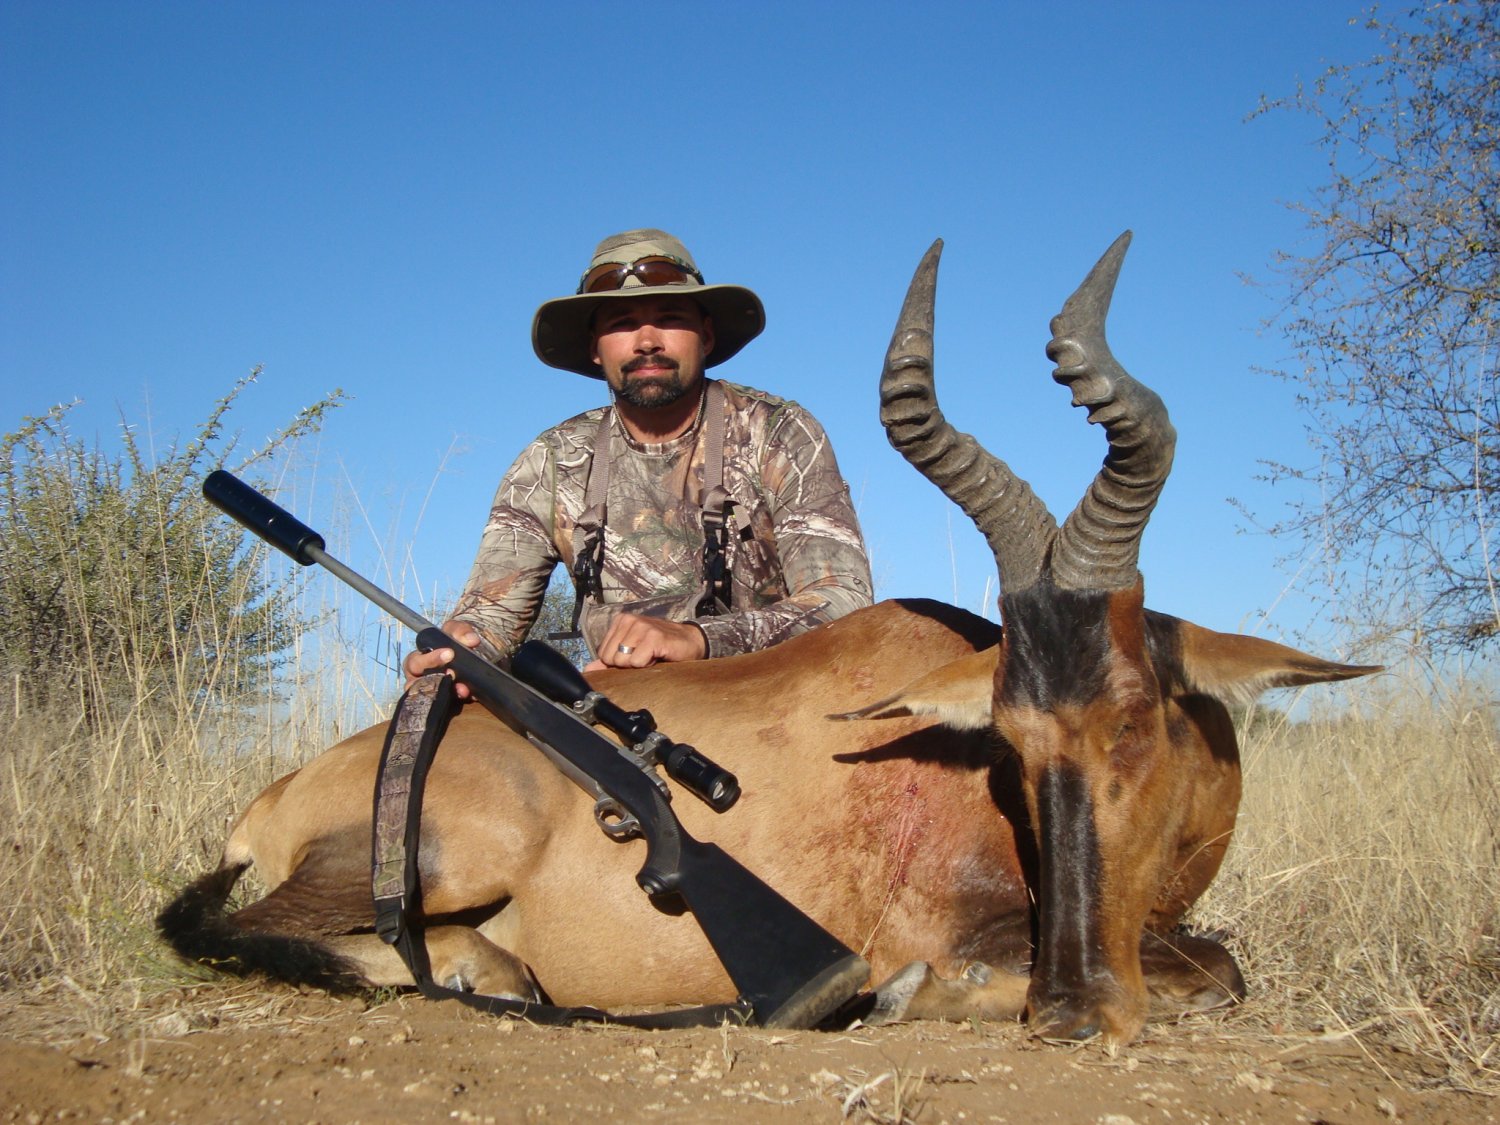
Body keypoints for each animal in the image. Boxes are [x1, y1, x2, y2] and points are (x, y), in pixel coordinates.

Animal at [159, 234, 1377, 1044]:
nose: (1077, 1010)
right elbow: (1211, 965)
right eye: (1012, 736)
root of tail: (276, 794)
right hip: (450, 850)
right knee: (250, 928)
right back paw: (485, 970)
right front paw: (913, 996)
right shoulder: (975, 926)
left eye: (1132, 717)